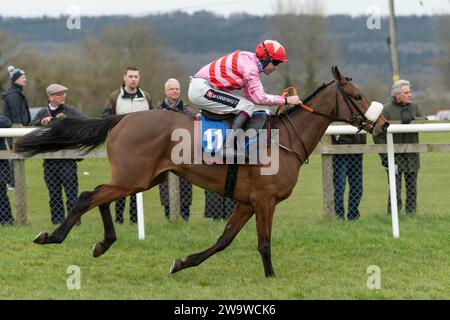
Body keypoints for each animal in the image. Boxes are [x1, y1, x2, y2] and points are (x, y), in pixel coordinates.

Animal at [14, 67, 386, 278]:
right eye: (356, 95)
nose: (382, 124)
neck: (283, 140)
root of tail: (124, 118)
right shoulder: (265, 201)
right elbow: (264, 243)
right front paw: (271, 278)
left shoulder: (246, 202)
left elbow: (223, 240)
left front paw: (182, 263)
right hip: (134, 177)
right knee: (87, 196)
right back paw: (52, 236)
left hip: (140, 179)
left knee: (101, 198)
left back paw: (103, 243)